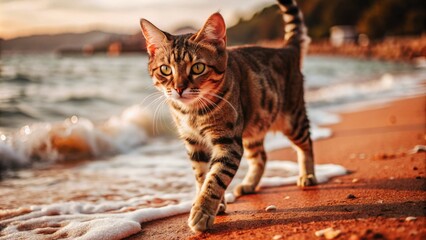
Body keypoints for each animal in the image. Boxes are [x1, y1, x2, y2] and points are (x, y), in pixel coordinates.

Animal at [140, 0, 316, 232]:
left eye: (198, 67)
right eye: (166, 70)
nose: (179, 89)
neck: (192, 113)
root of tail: (287, 49)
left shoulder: (228, 141)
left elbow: (215, 178)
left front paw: (203, 211)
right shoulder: (194, 143)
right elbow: (202, 176)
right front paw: (215, 204)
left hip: (292, 118)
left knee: (306, 143)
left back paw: (308, 175)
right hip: (253, 126)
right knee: (261, 156)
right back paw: (249, 184)